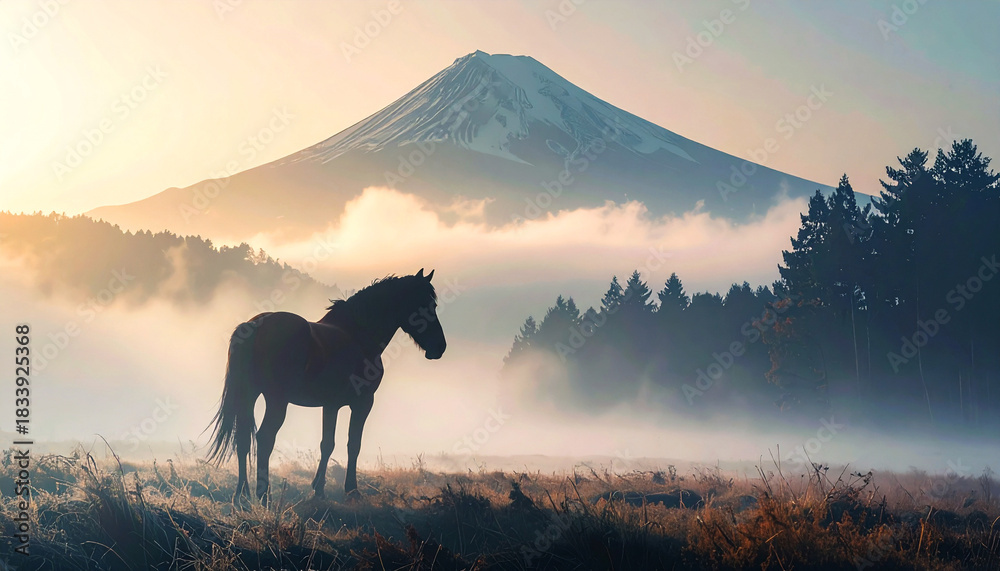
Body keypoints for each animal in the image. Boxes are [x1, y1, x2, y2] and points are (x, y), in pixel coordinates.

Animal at [206, 269, 446, 504]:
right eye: (427, 304)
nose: (439, 347)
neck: (357, 336)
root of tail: (255, 326)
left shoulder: (331, 405)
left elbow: (327, 444)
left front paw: (319, 489)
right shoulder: (363, 403)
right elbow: (353, 444)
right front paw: (351, 490)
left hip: (249, 396)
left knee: (243, 438)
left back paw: (241, 494)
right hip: (276, 400)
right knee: (264, 438)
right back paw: (264, 494)